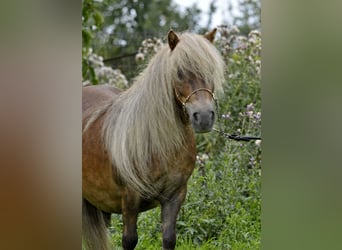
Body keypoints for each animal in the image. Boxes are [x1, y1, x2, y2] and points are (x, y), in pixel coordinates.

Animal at [82, 29, 226, 250]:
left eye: (210, 70)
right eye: (179, 72)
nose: (203, 117)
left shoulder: (174, 196)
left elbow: (169, 239)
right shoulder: (130, 199)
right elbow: (129, 241)